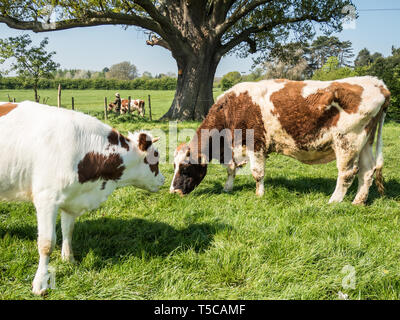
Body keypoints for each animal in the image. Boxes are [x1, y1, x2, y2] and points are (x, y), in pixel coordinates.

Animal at [170, 76, 390, 205]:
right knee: (367, 171)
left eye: (186, 167)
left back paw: (334, 201)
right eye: (174, 165)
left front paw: (259, 195)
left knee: (347, 173)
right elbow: (231, 169)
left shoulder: (256, 144)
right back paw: (358, 201)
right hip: (365, 142)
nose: (173, 191)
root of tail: (377, 83)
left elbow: (257, 173)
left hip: (347, 141)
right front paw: (228, 188)